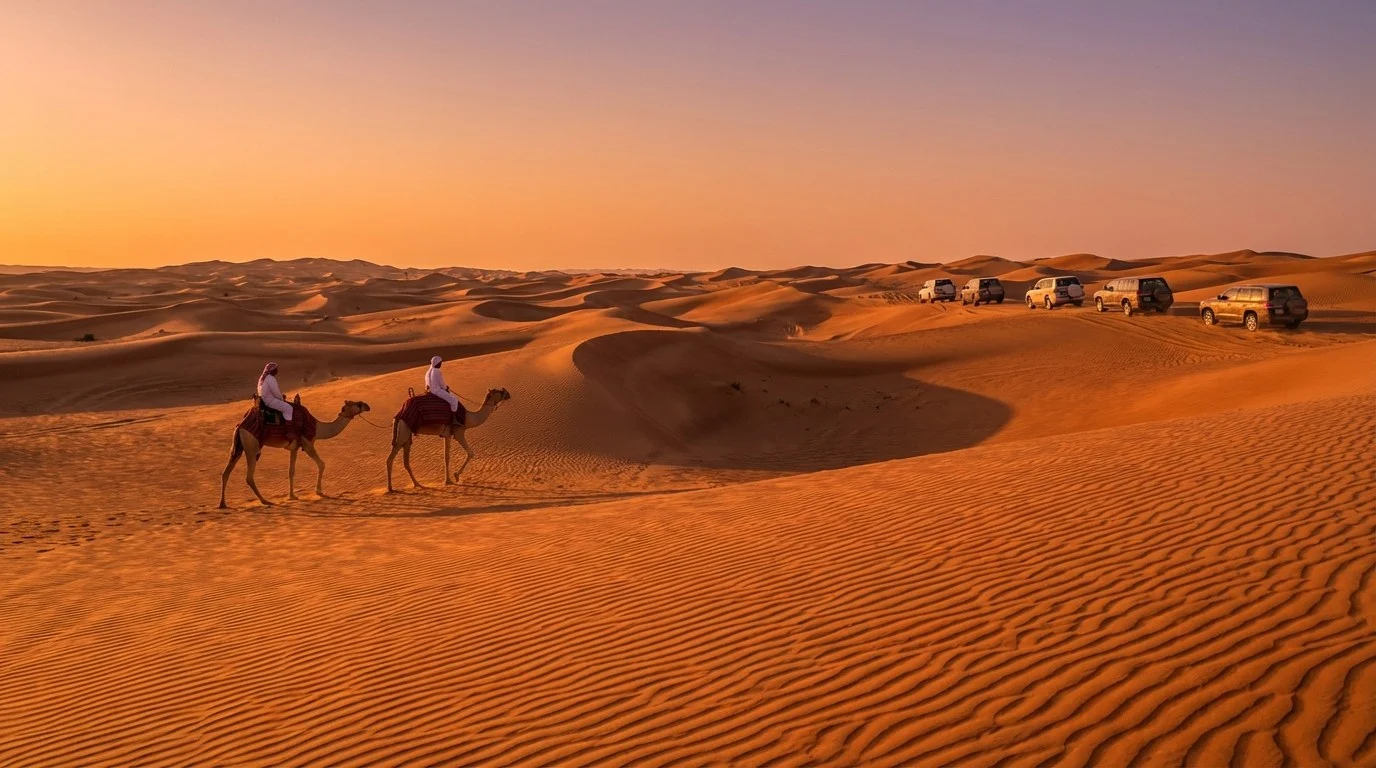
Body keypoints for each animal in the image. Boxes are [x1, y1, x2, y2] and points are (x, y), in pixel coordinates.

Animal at [219, 397, 372, 508]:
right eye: (357, 404)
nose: (367, 406)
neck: (317, 427)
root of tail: (241, 425)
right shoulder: (307, 443)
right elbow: (322, 464)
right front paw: (319, 491)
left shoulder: (294, 447)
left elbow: (291, 471)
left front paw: (292, 496)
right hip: (251, 445)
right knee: (249, 476)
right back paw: (265, 501)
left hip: (239, 445)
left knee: (226, 472)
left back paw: (223, 503)